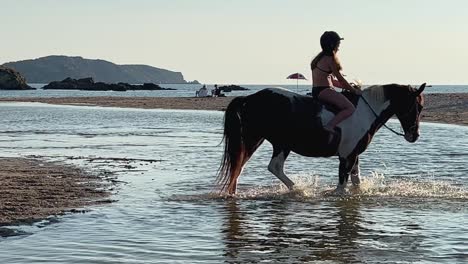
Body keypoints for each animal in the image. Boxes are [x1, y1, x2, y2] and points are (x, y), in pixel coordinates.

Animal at [216, 83, 424, 195]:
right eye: (418, 106)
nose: (414, 135)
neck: (364, 112)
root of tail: (249, 98)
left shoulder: (354, 155)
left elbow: (356, 182)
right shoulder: (346, 157)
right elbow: (342, 187)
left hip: (259, 142)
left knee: (238, 168)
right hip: (275, 143)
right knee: (271, 167)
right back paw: (298, 190)